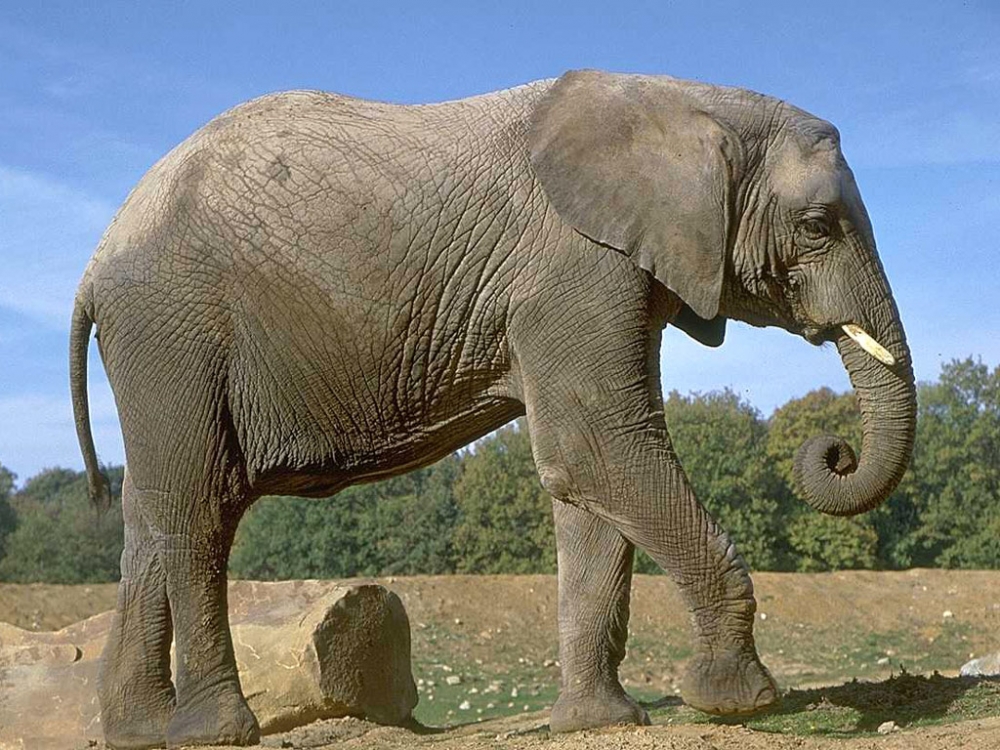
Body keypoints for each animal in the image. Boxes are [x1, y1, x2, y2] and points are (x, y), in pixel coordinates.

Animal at [71, 69, 915, 748]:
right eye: (818, 226)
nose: (833, 450)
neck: (689, 102)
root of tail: (95, 260)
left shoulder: (613, 272)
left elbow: (587, 479)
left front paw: (599, 722)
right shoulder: (573, 266)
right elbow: (598, 449)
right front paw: (737, 701)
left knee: (149, 515)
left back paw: (141, 733)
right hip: (171, 332)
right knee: (198, 509)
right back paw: (218, 733)